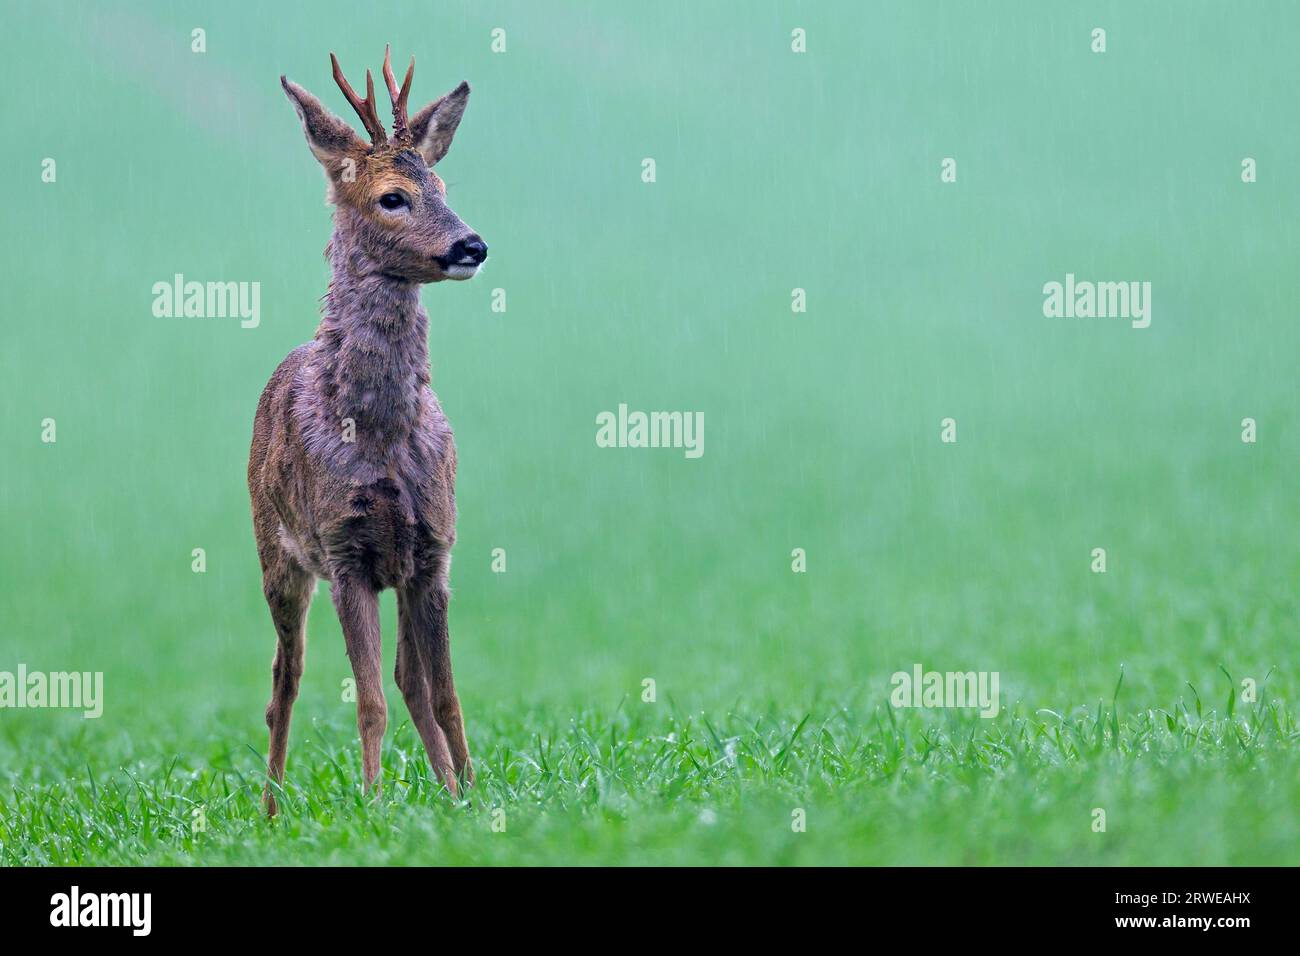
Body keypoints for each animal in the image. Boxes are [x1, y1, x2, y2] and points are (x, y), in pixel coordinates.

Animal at [245, 46, 486, 816]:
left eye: (442, 183)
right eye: (392, 197)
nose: (472, 244)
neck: (379, 436)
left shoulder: (434, 548)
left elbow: (443, 693)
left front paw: (472, 797)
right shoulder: (344, 549)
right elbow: (369, 701)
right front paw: (375, 805)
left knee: (409, 677)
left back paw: (446, 788)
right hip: (277, 556)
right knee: (283, 678)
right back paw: (270, 808)